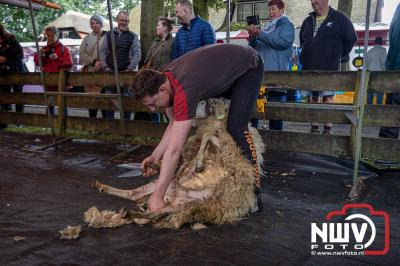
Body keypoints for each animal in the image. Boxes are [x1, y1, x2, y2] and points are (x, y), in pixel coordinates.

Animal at [92, 97, 264, 229]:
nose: (204, 102)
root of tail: (176, 197)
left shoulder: (226, 149)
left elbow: (207, 136)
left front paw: (199, 163)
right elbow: (206, 137)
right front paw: (197, 162)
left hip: (190, 204)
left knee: (156, 211)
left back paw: (129, 212)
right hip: (167, 189)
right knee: (134, 195)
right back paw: (102, 186)